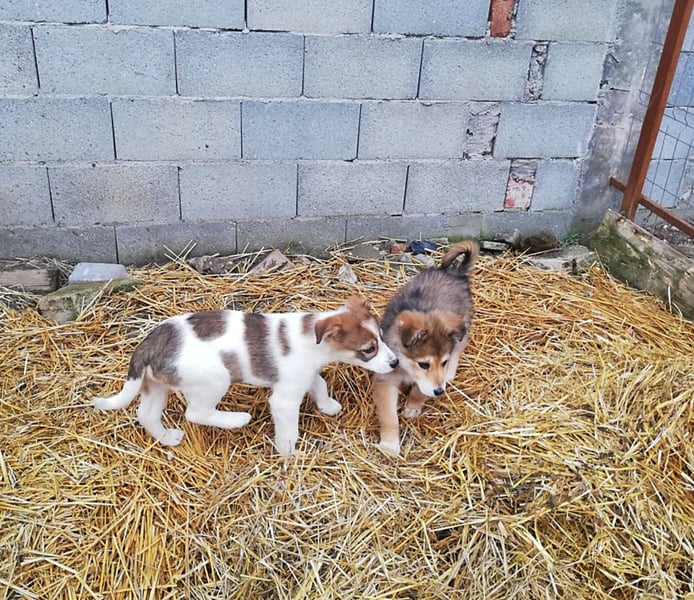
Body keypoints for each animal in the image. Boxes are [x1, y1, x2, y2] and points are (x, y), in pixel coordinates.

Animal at [94, 296, 398, 456]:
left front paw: (328, 406)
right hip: (215, 380)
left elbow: (320, 384)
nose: (395, 362)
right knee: (196, 413)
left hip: (156, 384)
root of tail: (148, 343)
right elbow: (290, 428)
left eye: (382, 339)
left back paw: (167, 438)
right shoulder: (285, 398)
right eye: (369, 349)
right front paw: (288, 451)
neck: (312, 337)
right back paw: (237, 419)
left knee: (146, 415)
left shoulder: (302, 376)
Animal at [373, 240, 479, 456]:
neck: (406, 368)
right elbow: (389, 417)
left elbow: (421, 390)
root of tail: (455, 273)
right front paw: (390, 445)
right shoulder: (385, 381)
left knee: (460, 346)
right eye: (423, 364)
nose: (439, 391)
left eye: (442, 362)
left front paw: (413, 405)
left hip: (462, 328)